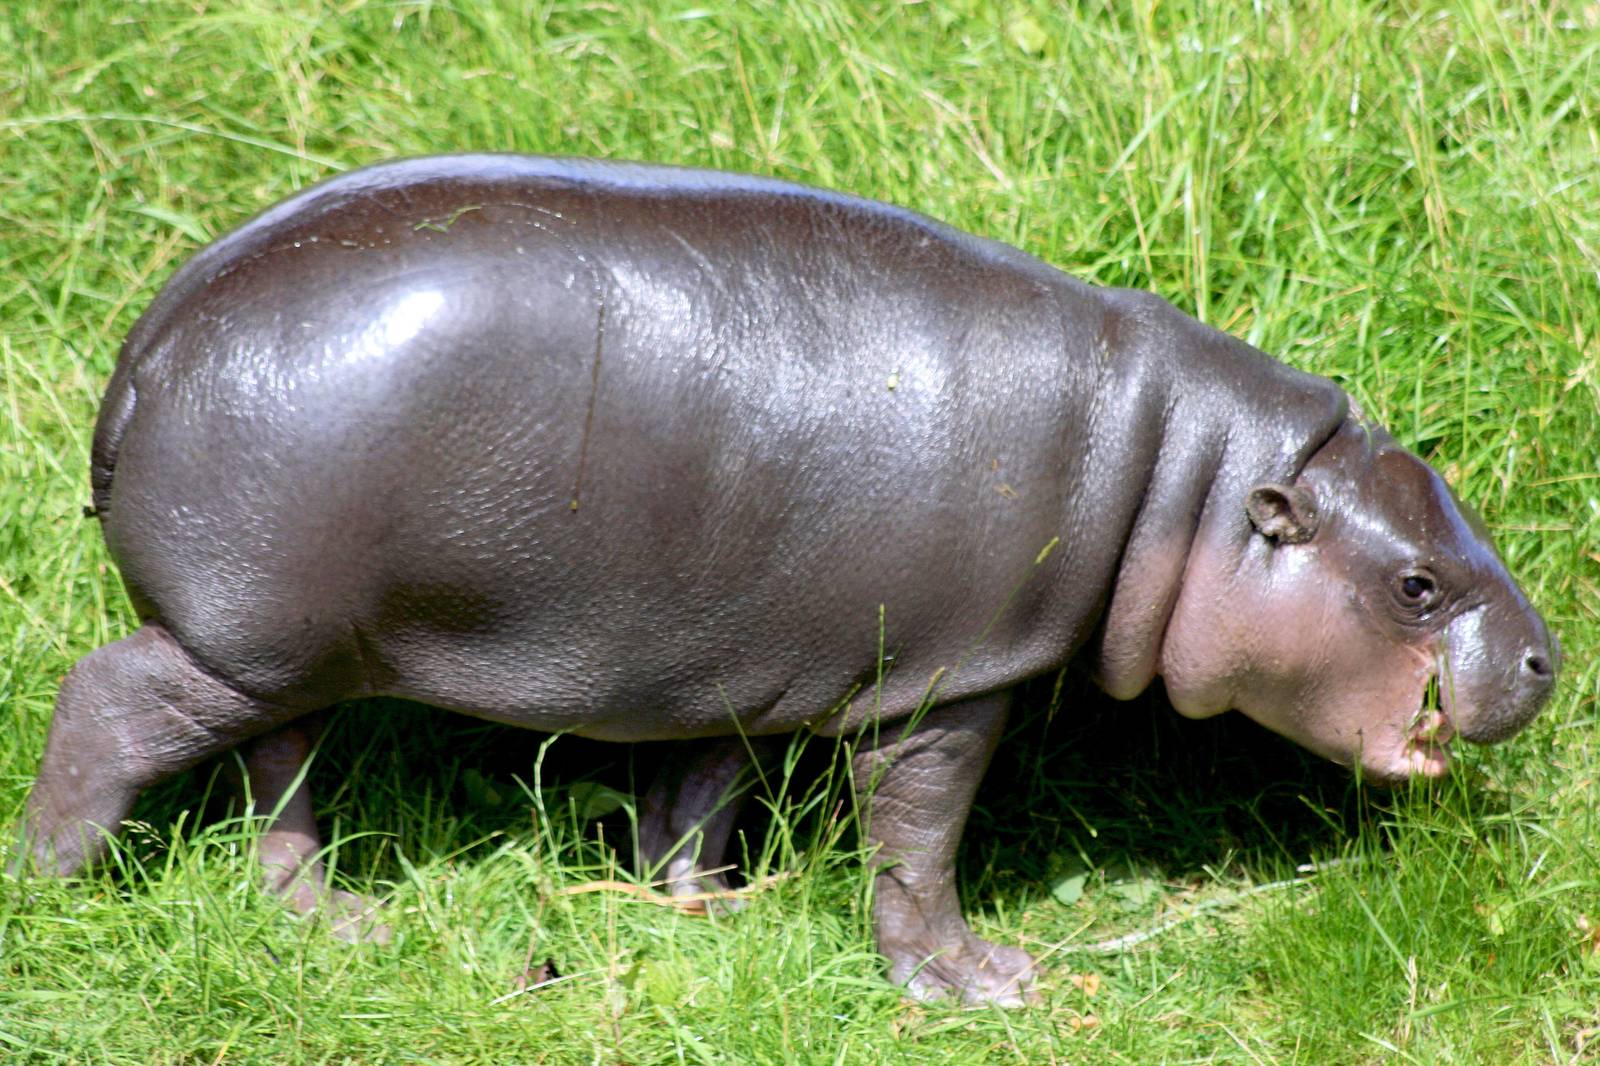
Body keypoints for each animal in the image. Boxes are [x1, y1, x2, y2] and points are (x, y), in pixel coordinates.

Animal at [17, 155, 1556, 1005]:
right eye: (1417, 587)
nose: (1547, 656)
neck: (1184, 481)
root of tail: (141, 348)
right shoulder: (948, 675)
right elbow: (919, 837)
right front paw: (978, 985)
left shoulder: (747, 649)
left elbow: (701, 788)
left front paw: (701, 909)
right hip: (239, 632)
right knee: (109, 704)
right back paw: (51, 891)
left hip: (300, 642)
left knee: (280, 765)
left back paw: (335, 918)